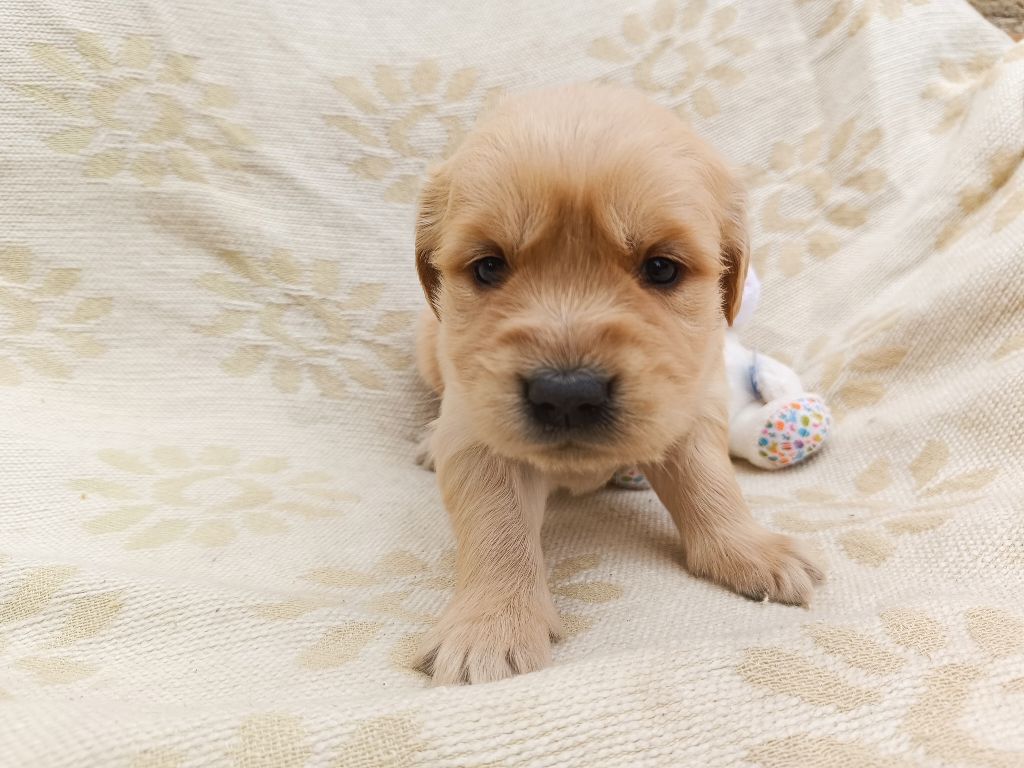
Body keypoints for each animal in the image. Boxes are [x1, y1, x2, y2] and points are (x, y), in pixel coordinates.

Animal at [412, 83, 824, 685]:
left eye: (662, 268)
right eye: (489, 267)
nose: (567, 393)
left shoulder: (688, 401)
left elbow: (711, 484)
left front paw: (749, 550)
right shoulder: (476, 428)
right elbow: (497, 526)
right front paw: (491, 626)